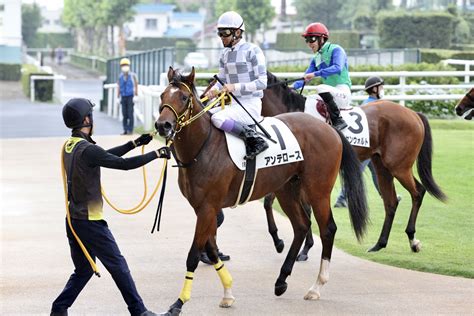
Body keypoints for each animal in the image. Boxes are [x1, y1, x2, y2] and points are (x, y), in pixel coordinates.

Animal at [154, 66, 368, 314]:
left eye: (184, 97)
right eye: (162, 95)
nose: (162, 125)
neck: (203, 147)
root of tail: (329, 128)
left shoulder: (208, 207)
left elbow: (193, 255)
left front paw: (178, 303)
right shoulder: (203, 208)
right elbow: (212, 249)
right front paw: (228, 293)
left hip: (318, 191)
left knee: (327, 229)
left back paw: (316, 286)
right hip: (288, 189)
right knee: (301, 226)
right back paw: (281, 280)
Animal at [262, 70, 446, 258]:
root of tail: (413, 113)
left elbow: (285, 204)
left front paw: (298, 246)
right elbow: (272, 202)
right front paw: (284, 242)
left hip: (399, 167)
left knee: (418, 192)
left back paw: (412, 240)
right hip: (382, 167)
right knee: (391, 202)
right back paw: (379, 244)